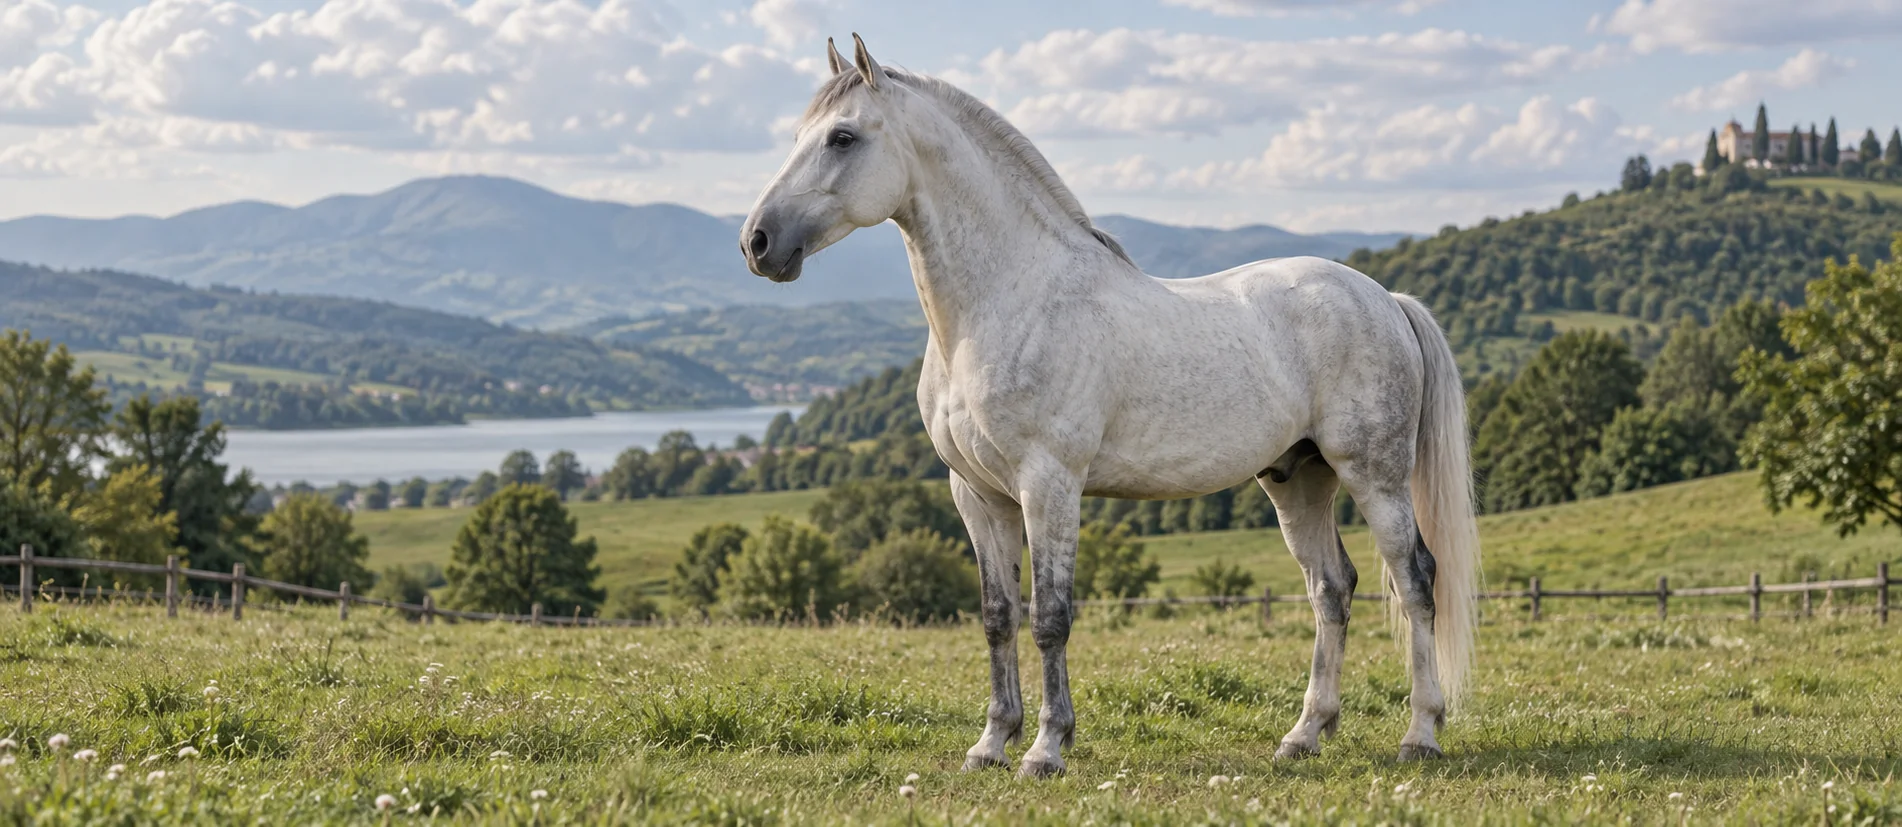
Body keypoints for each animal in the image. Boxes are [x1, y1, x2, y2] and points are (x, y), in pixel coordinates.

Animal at [740, 34, 1481, 779]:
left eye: (843, 137)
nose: (757, 242)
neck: (1008, 301)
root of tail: (1386, 299)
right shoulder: (977, 494)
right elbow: (997, 616)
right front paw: (991, 743)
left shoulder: (1049, 483)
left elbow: (1050, 616)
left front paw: (1046, 748)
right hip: (1297, 478)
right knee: (1332, 588)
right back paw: (1304, 734)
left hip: (1373, 475)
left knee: (1415, 581)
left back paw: (1420, 733)